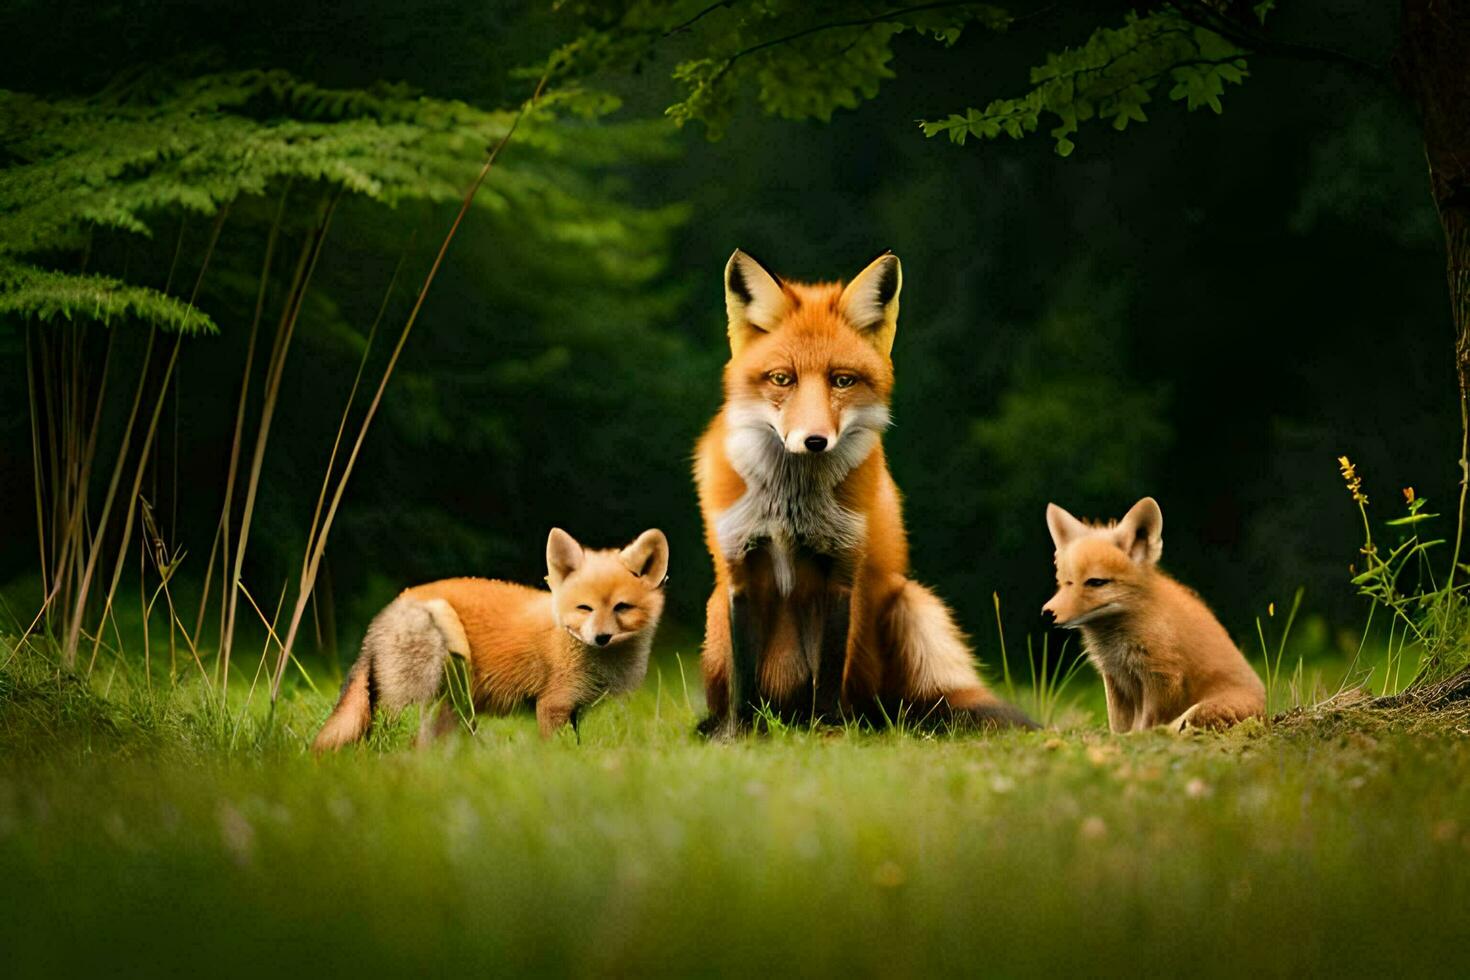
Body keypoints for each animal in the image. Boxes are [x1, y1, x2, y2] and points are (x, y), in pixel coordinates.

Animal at [318, 528, 673, 752]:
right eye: (584, 608)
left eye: (622, 607)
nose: (601, 637)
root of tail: (376, 625)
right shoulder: (553, 706)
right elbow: (557, 751)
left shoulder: (576, 712)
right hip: (431, 677)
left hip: (452, 707)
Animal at [696, 249, 1034, 731]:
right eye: (782, 379)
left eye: (842, 380)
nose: (814, 441)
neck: (790, 507)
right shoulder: (739, 569)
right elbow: (745, 679)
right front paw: (740, 732)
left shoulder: (841, 569)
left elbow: (828, 670)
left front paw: (825, 730)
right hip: (713, 617)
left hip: (912, 605)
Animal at [1046, 502, 1264, 731]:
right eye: (1066, 583)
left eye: (1096, 582)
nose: (1047, 612)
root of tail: (1266, 712)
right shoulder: (1114, 677)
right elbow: (1118, 725)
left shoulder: (1162, 676)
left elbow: (1147, 724)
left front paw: (1140, 736)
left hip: (1201, 710)